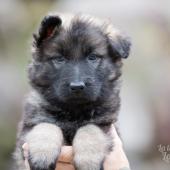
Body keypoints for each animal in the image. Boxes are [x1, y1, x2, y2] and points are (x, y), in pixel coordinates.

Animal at [13, 12, 131, 170]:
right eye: (59, 59)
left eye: (92, 57)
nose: (77, 86)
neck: (73, 110)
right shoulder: (31, 123)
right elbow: (45, 126)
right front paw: (42, 155)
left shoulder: (106, 121)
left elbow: (90, 129)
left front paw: (88, 160)